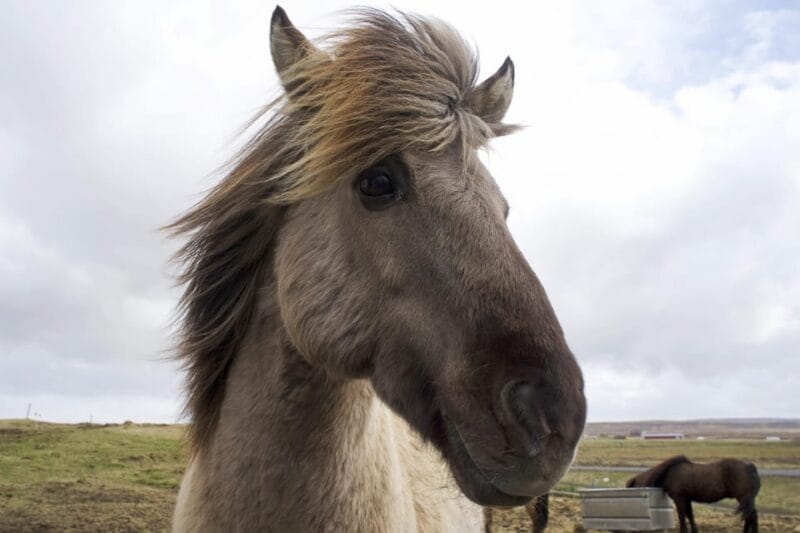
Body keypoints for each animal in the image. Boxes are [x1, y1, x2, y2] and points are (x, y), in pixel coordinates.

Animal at [627, 455, 761, 533]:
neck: (668, 473)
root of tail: (749, 466)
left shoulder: (679, 499)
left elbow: (682, 517)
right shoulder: (687, 499)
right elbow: (690, 516)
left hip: (743, 498)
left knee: (750, 516)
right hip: (748, 500)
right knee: (752, 516)